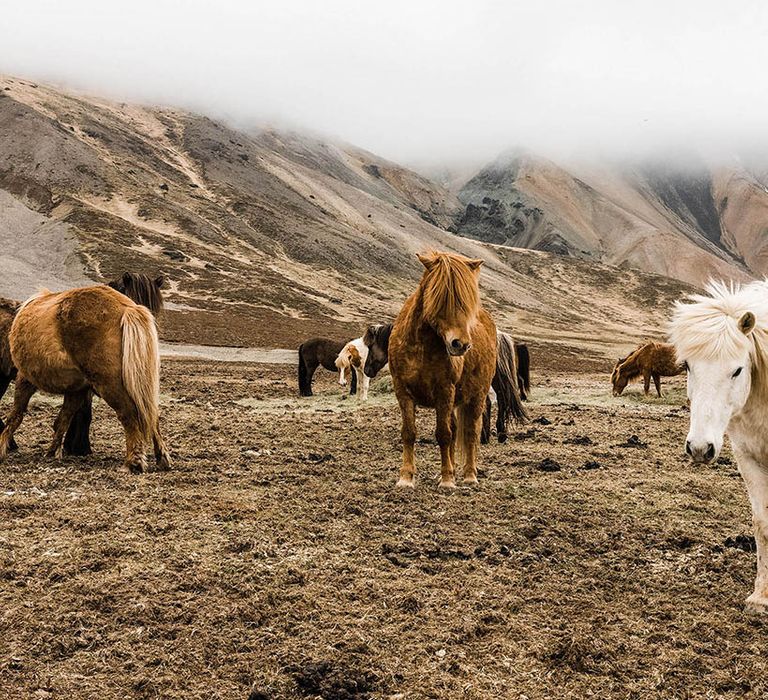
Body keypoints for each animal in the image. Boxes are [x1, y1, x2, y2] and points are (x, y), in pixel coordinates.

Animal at [0, 284, 170, 476]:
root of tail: (129, 308)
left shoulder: (25, 379)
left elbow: (15, 416)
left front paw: (2, 448)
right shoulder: (76, 390)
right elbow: (63, 419)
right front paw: (53, 452)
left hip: (111, 386)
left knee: (129, 415)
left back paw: (133, 463)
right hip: (140, 384)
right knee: (151, 415)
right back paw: (161, 458)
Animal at [390, 250, 498, 486]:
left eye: (467, 302)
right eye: (442, 296)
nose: (461, 344)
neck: (420, 346)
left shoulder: (444, 391)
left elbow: (443, 434)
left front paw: (448, 479)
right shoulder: (402, 391)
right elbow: (409, 432)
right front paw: (406, 477)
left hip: (476, 396)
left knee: (470, 432)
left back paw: (469, 476)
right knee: (456, 429)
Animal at [668, 278, 768, 612]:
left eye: (737, 369)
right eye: (687, 366)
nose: (700, 448)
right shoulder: (748, 458)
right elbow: (763, 523)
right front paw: (761, 597)